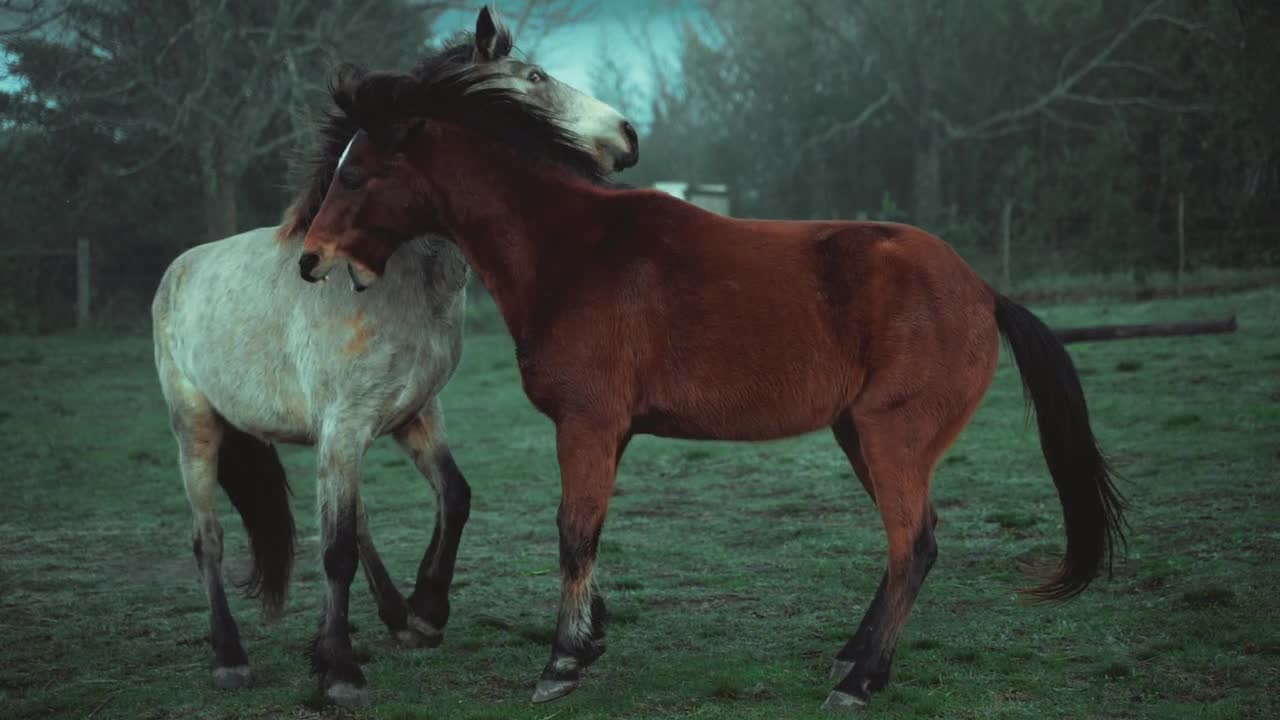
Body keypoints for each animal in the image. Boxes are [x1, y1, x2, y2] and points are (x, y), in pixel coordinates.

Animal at [294, 64, 1126, 707]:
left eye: (356, 174)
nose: (310, 257)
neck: (572, 250)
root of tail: (982, 291)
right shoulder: (609, 436)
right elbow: (588, 534)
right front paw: (586, 643)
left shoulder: (587, 425)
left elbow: (573, 533)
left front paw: (561, 664)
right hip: (859, 436)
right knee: (908, 545)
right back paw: (852, 658)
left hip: (892, 438)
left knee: (912, 544)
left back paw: (861, 680)